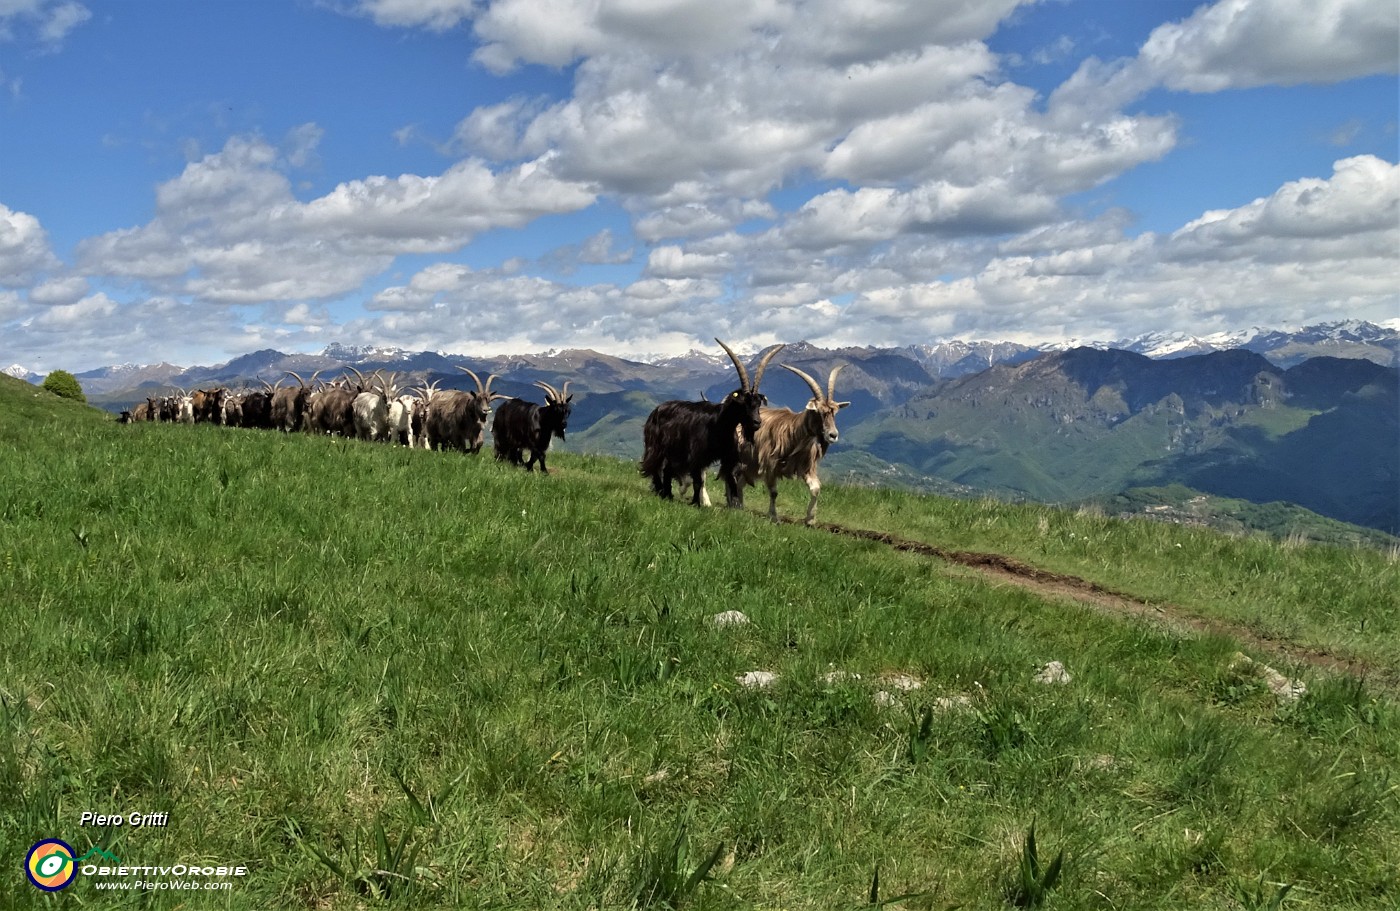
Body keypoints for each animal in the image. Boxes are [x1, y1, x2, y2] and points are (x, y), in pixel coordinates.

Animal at [641, 340, 784, 509]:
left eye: (758, 403)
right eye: (743, 403)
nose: (757, 422)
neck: (719, 424)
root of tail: (657, 409)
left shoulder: (728, 456)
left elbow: (732, 480)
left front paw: (736, 506)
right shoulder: (696, 456)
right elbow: (698, 481)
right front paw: (696, 503)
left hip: (676, 452)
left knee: (668, 469)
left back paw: (667, 494)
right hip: (656, 446)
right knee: (656, 467)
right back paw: (660, 491)